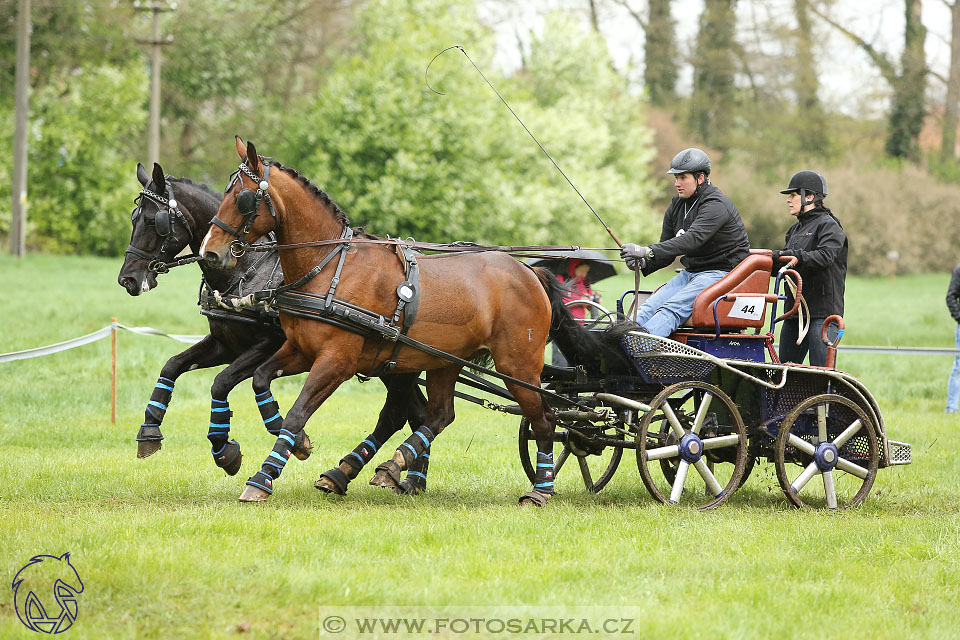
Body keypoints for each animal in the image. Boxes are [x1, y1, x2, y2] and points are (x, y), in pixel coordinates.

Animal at [118, 161, 430, 496]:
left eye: (155, 221)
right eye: (134, 218)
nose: (128, 279)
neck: (245, 271)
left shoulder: (268, 345)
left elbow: (222, 382)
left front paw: (232, 448)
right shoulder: (224, 344)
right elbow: (172, 365)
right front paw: (151, 429)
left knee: (409, 413)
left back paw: (400, 474)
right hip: (390, 364)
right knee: (416, 412)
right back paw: (409, 477)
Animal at [199, 139, 568, 504]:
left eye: (243, 198)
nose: (210, 252)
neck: (330, 266)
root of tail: (529, 272)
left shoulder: (336, 361)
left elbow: (296, 414)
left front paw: (263, 477)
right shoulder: (300, 350)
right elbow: (261, 379)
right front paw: (295, 444)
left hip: (517, 366)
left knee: (545, 419)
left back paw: (541, 489)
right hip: (444, 360)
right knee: (439, 415)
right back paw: (388, 464)